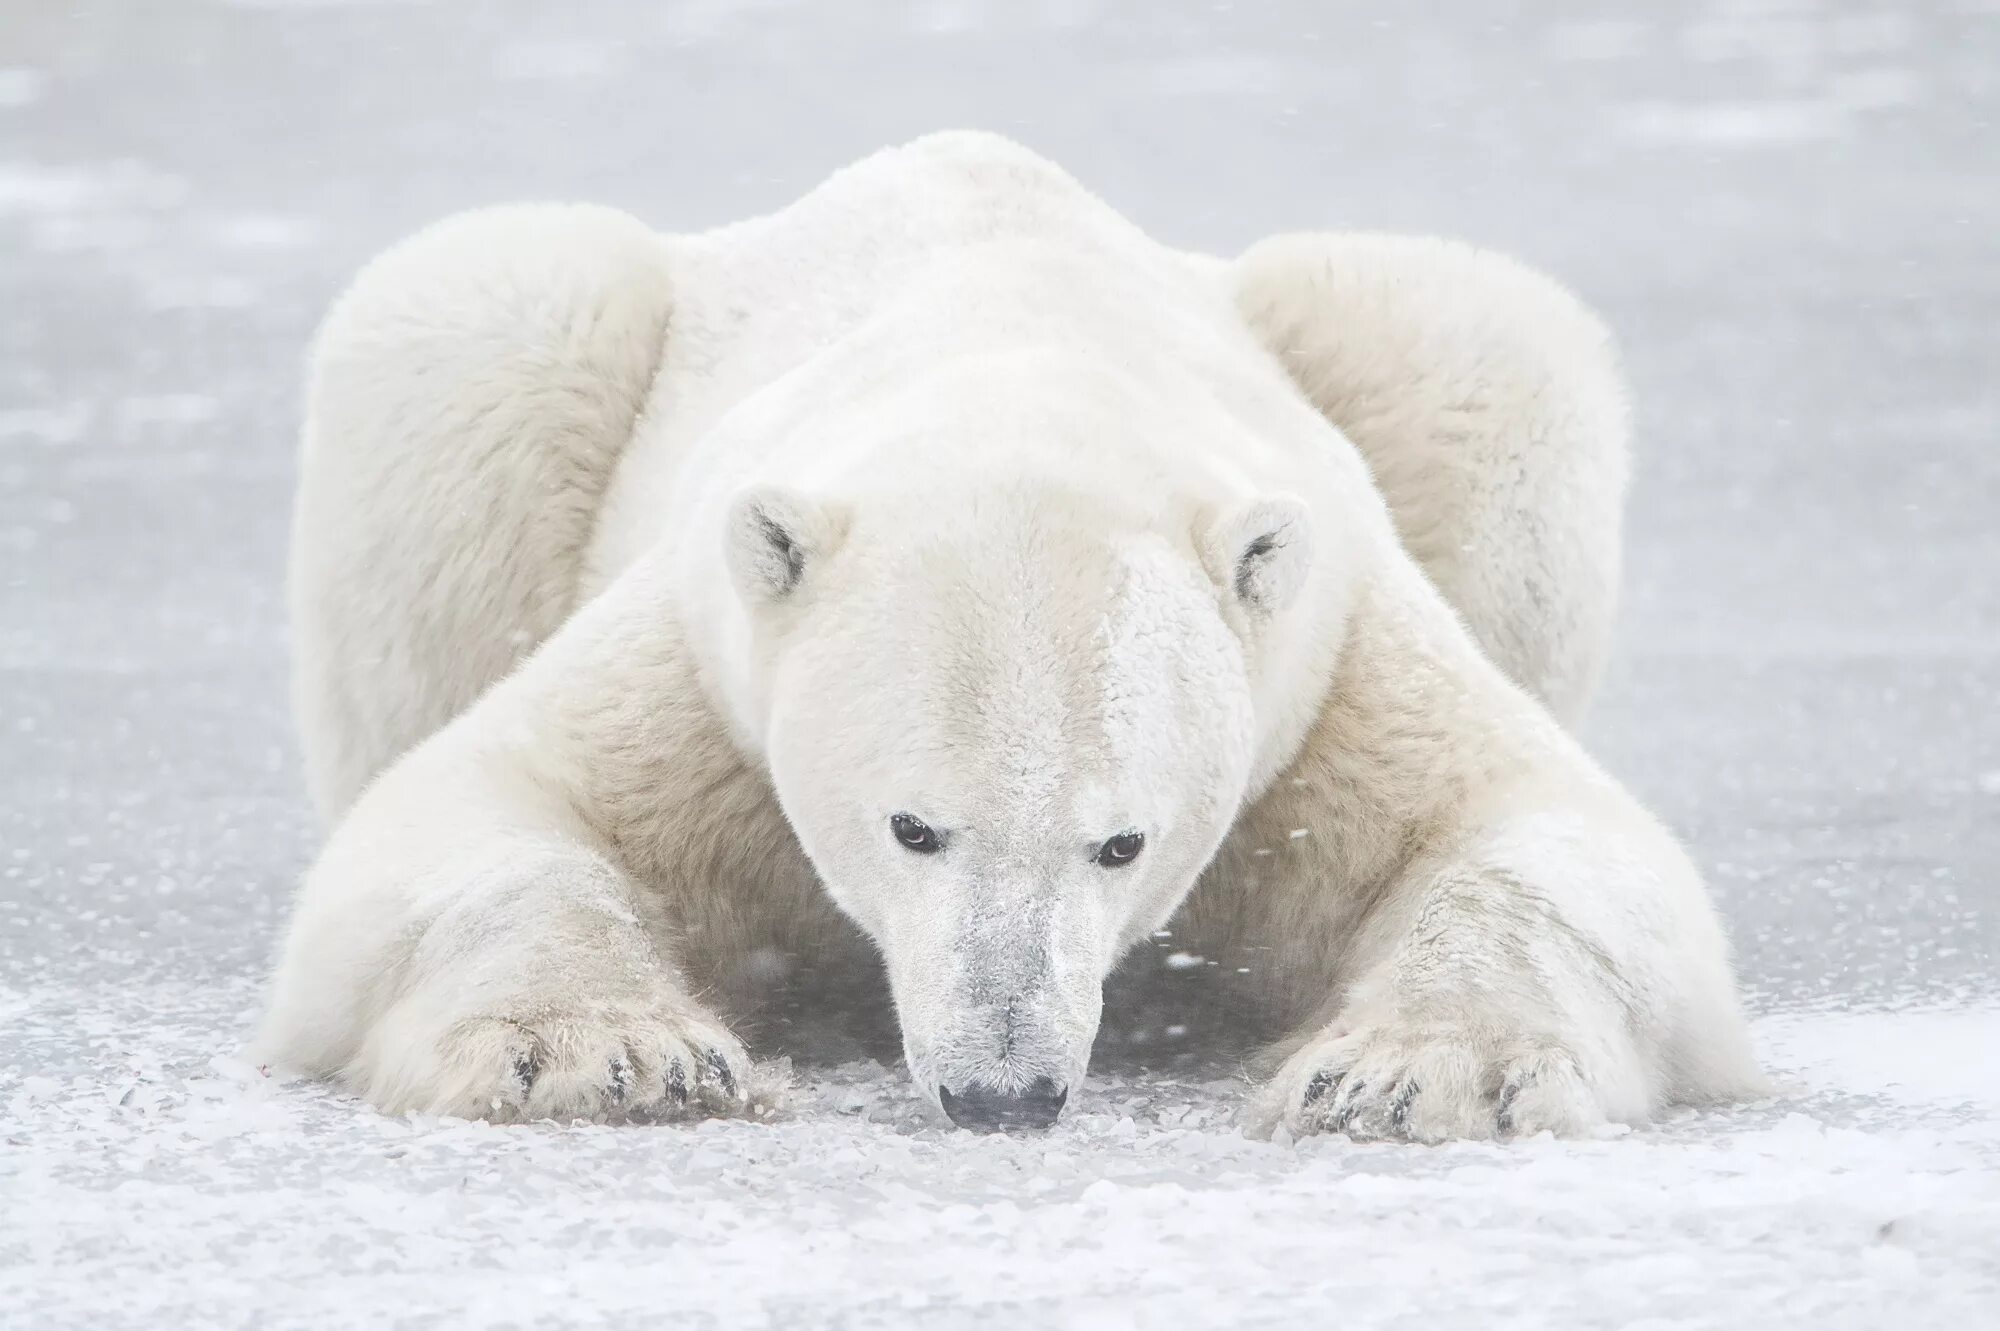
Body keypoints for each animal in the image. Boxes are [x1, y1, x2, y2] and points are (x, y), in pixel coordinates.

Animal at [254, 131, 1768, 1127]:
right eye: (913, 825)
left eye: (1124, 840)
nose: (1004, 1087)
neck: (1031, 383)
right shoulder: (709, 655)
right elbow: (466, 812)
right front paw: (608, 1054)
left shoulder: (1319, 666)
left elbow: (1540, 836)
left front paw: (1413, 1070)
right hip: (523, 359)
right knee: (479, 329)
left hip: (1409, 360)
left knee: (1483, 343)